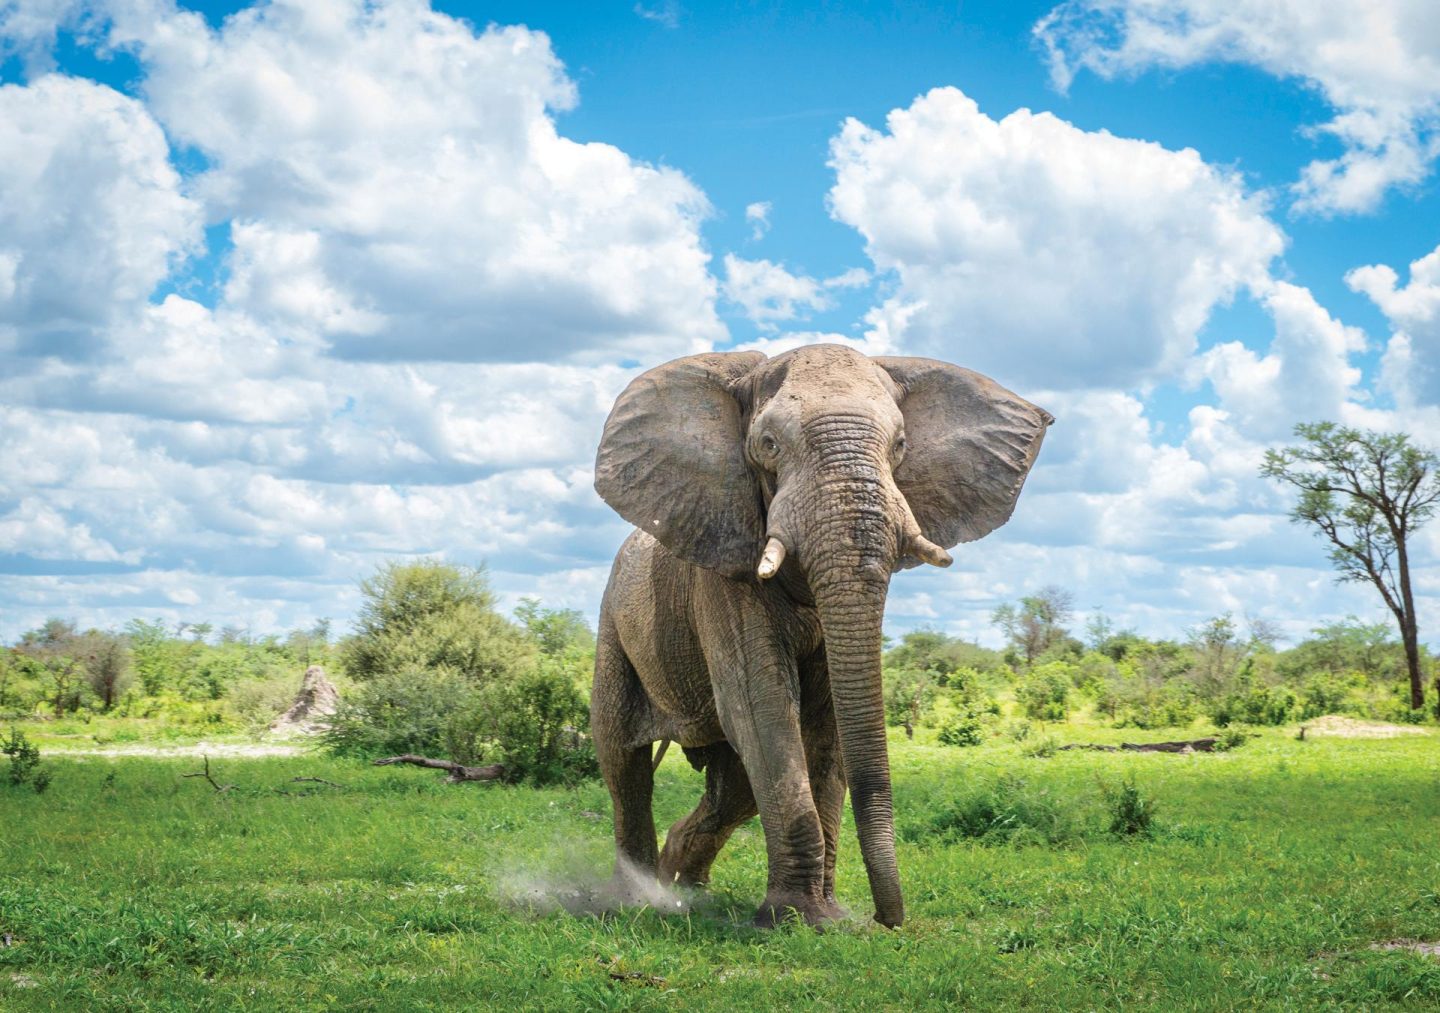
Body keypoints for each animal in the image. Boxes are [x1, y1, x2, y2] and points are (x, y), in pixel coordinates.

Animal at [590, 343, 1052, 928]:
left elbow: (826, 726)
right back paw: (637, 899)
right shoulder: (722, 573)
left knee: (733, 789)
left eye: (900, 445)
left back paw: (683, 890)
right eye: (768, 445)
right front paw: (797, 919)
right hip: (613, 622)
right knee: (624, 765)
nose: (886, 921)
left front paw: (827, 919)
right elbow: (761, 706)